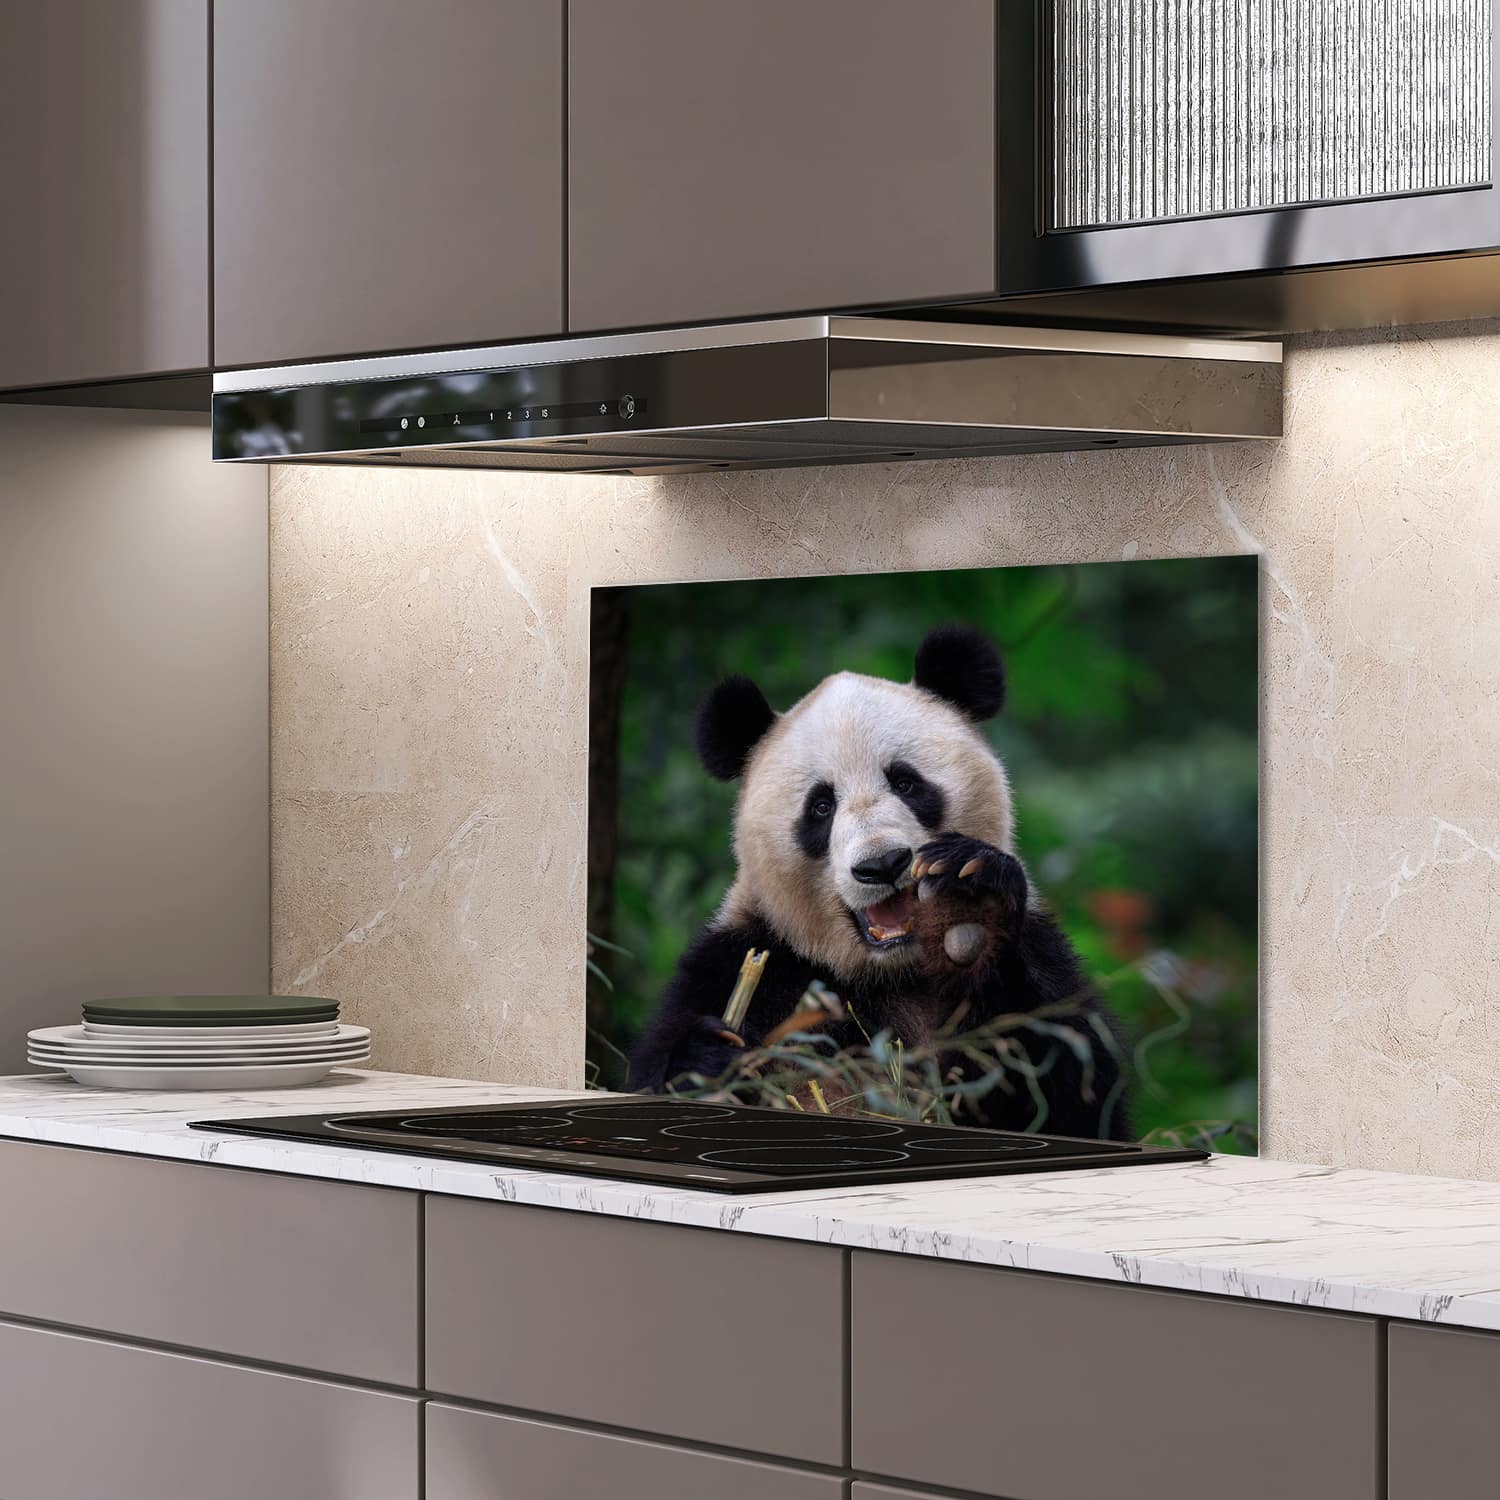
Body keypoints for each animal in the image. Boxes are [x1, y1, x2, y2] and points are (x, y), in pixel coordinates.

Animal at [628, 625, 1134, 1141]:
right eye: (821, 806)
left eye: (906, 783)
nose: (883, 864)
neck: (891, 973)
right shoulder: (748, 962)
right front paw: (706, 1062)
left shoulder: (1042, 951)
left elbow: (1072, 1092)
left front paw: (974, 909)